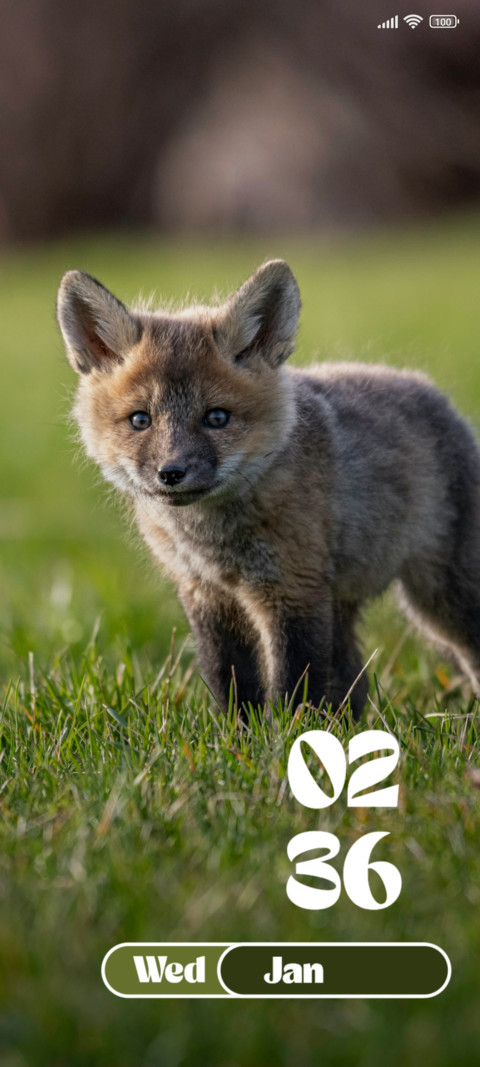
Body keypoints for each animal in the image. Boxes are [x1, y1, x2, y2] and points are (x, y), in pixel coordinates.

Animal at [57, 259, 480, 718]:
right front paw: (238, 735)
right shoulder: (207, 596)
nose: (171, 472)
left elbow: (294, 685)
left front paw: (290, 735)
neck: (214, 541)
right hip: (347, 604)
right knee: (355, 681)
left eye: (217, 418)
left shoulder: (293, 590)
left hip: (442, 601)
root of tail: (430, 390)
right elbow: (230, 681)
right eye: (140, 420)